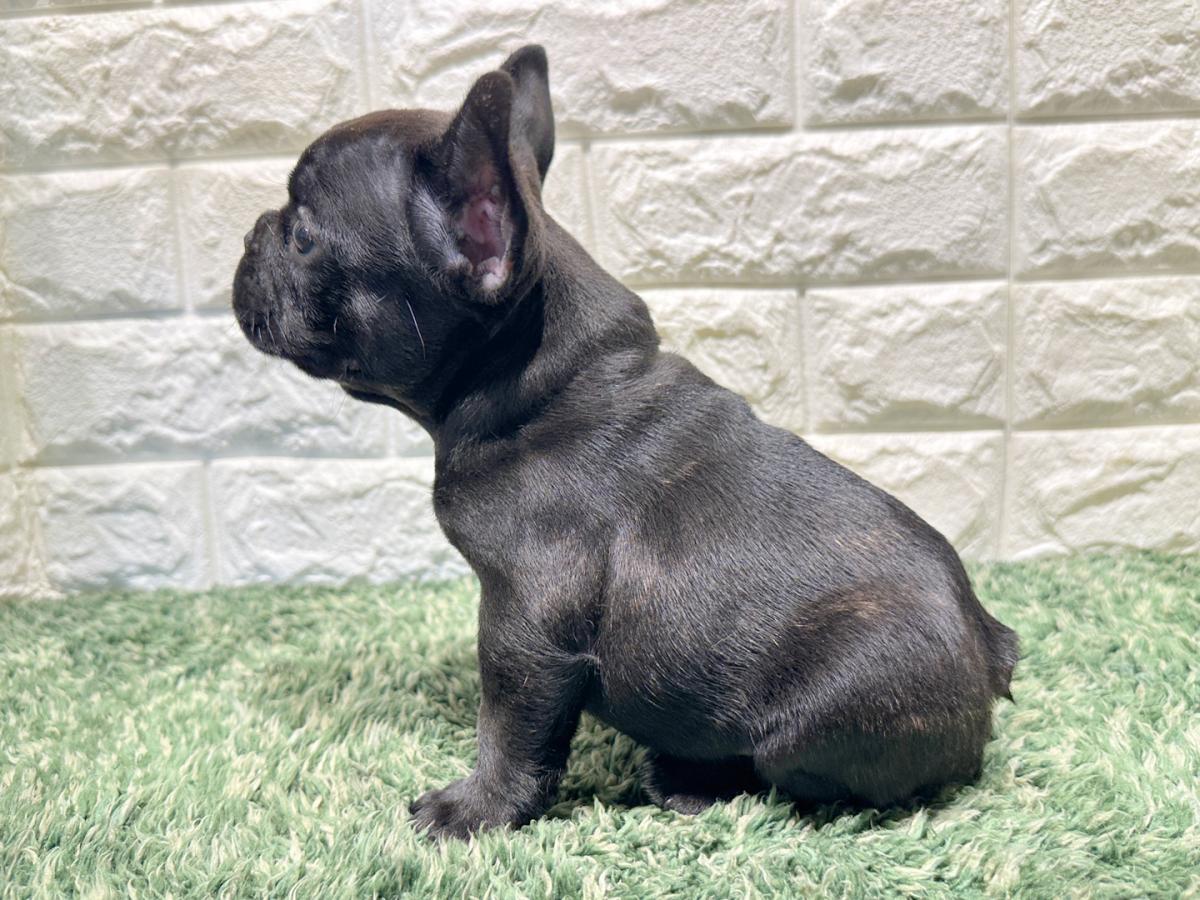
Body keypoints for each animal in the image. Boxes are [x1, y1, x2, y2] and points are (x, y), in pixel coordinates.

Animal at [232, 45, 1019, 839]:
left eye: (303, 237)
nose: (251, 232)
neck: (535, 381)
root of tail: (991, 651)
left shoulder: (525, 624)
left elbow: (509, 730)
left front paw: (474, 810)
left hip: (824, 710)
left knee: (806, 786)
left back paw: (693, 782)